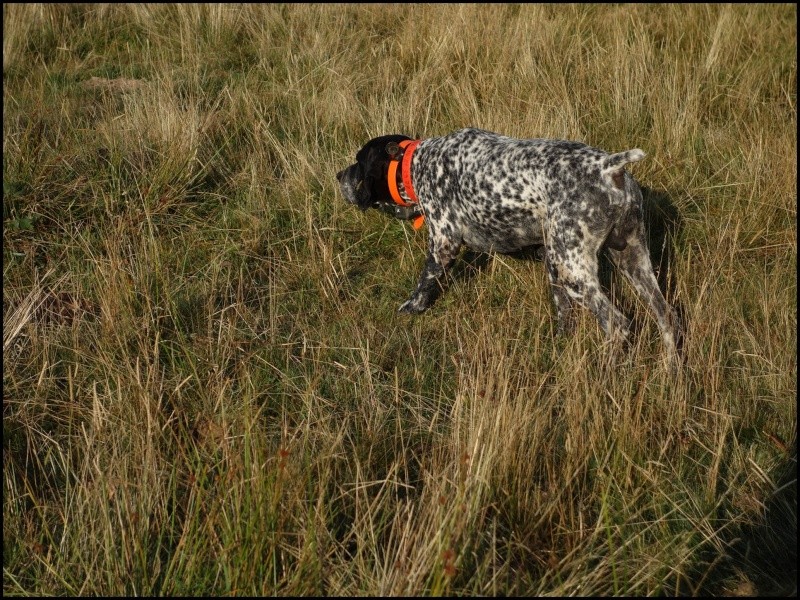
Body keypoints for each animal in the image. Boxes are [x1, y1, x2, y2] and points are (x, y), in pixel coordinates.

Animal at [338, 127, 680, 364]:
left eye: (358, 161)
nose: (339, 174)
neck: (418, 164)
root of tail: (609, 167)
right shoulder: (550, 260)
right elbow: (563, 312)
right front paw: (561, 340)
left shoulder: (443, 243)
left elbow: (424, 284)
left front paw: (411, 309)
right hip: (630, 259)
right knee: (667, 315)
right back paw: (671, 372)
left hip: (576, 271)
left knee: (618, 324)